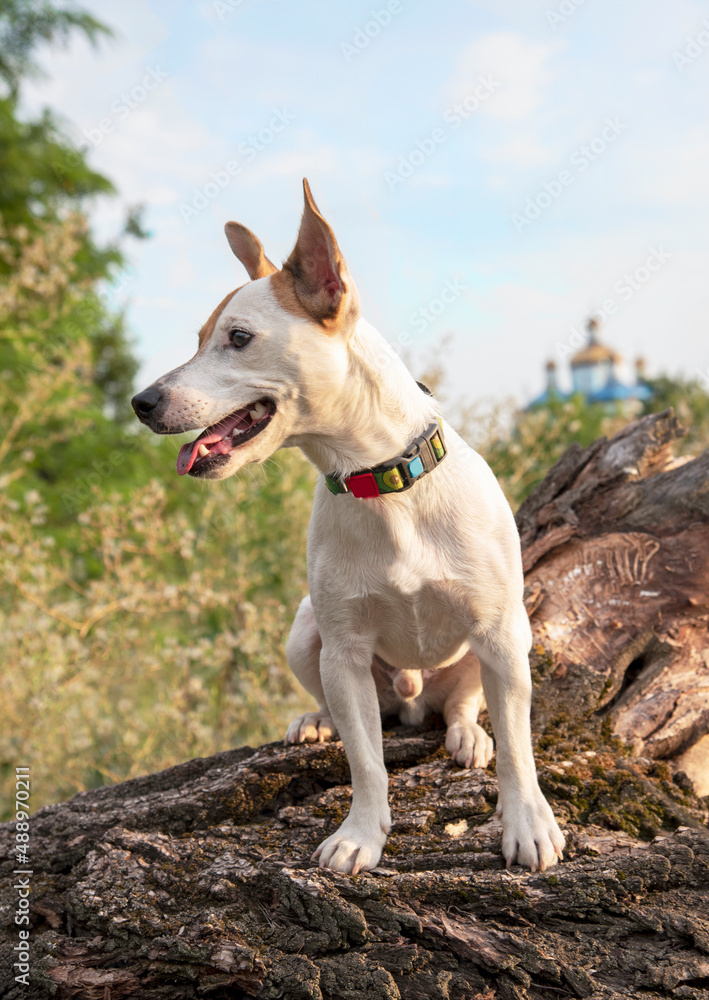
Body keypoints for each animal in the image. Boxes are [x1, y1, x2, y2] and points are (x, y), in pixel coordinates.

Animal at [131, 180, 564, 876]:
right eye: (199, 338)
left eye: (238, 337)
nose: (142, 403)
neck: (379, 484)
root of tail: (413, 697)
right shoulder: (345, 652)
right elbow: (366, 762)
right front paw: (361, 836)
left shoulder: (500, 636)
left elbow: (521, 752)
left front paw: (528, 825)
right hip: (305, 631)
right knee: (351, 713)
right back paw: (316, 720)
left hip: (497, 644)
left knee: (464, 704)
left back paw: (467, 734)